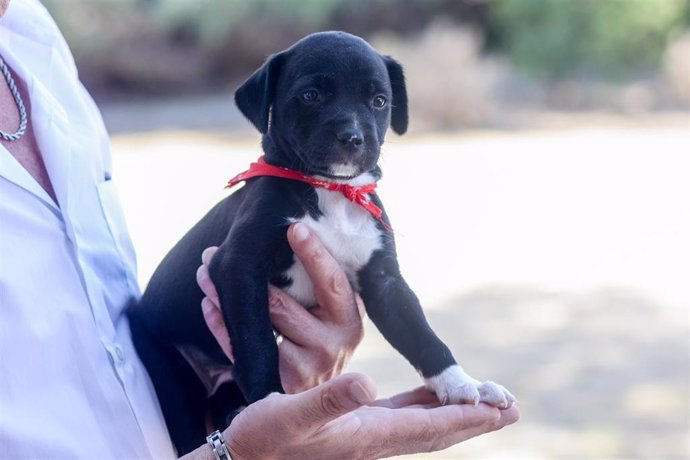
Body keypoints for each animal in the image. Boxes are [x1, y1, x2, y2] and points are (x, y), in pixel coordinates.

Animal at [127, 30, 510, 454]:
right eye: (310, 95)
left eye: (379, 101)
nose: (352, 137)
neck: (330, 192)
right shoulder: (238, 266)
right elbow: (257, 341)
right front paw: (270, 403)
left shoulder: (384, 281)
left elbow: (421, 333)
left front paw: (461, 383)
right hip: (168, 372)